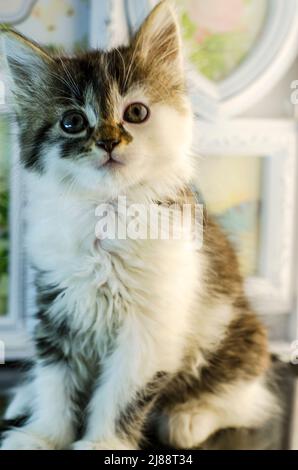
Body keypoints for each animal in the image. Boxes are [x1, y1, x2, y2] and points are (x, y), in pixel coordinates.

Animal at [1, 0, 278, 452]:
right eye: (72, 122)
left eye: (136, 113)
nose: (109, 141)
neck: (108, 213)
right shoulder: (58, 304)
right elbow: (56, 381)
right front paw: (43, 435)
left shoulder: (151, 326)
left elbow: (119, 395)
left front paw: (101, 444)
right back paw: (25, 397)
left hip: (240, 335)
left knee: (244, 400)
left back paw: (189, 417)